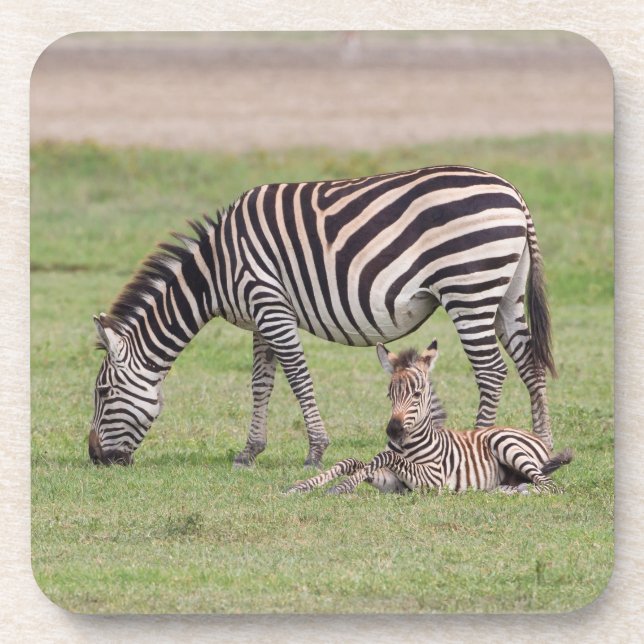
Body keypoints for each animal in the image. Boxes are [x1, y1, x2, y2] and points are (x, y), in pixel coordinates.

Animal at [89, 164, 556, 467]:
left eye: (103, 392)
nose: (94, 457)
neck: (215, 271)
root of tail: (513, 193)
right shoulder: (261, 319)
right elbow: (261, 384)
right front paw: (249, 452)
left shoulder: (270, 305)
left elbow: (297, 377)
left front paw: (315, 450)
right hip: (504, 294)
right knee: (529, 365)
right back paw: (544, 444)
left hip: (468, 289)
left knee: (491, 371)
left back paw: (481, 444)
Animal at [286, 340, 572, 495]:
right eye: (389, 394)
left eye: (417, 394)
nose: (394, 431)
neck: (409, 445)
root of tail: (534, 436)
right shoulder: (393, 483)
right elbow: (353, 461)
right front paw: (304, 485)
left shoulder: (432, 480)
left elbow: (384, 456)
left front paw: (341, 487)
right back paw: (503, 488)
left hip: (506, 444)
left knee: (549, 486)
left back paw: (513, 492)